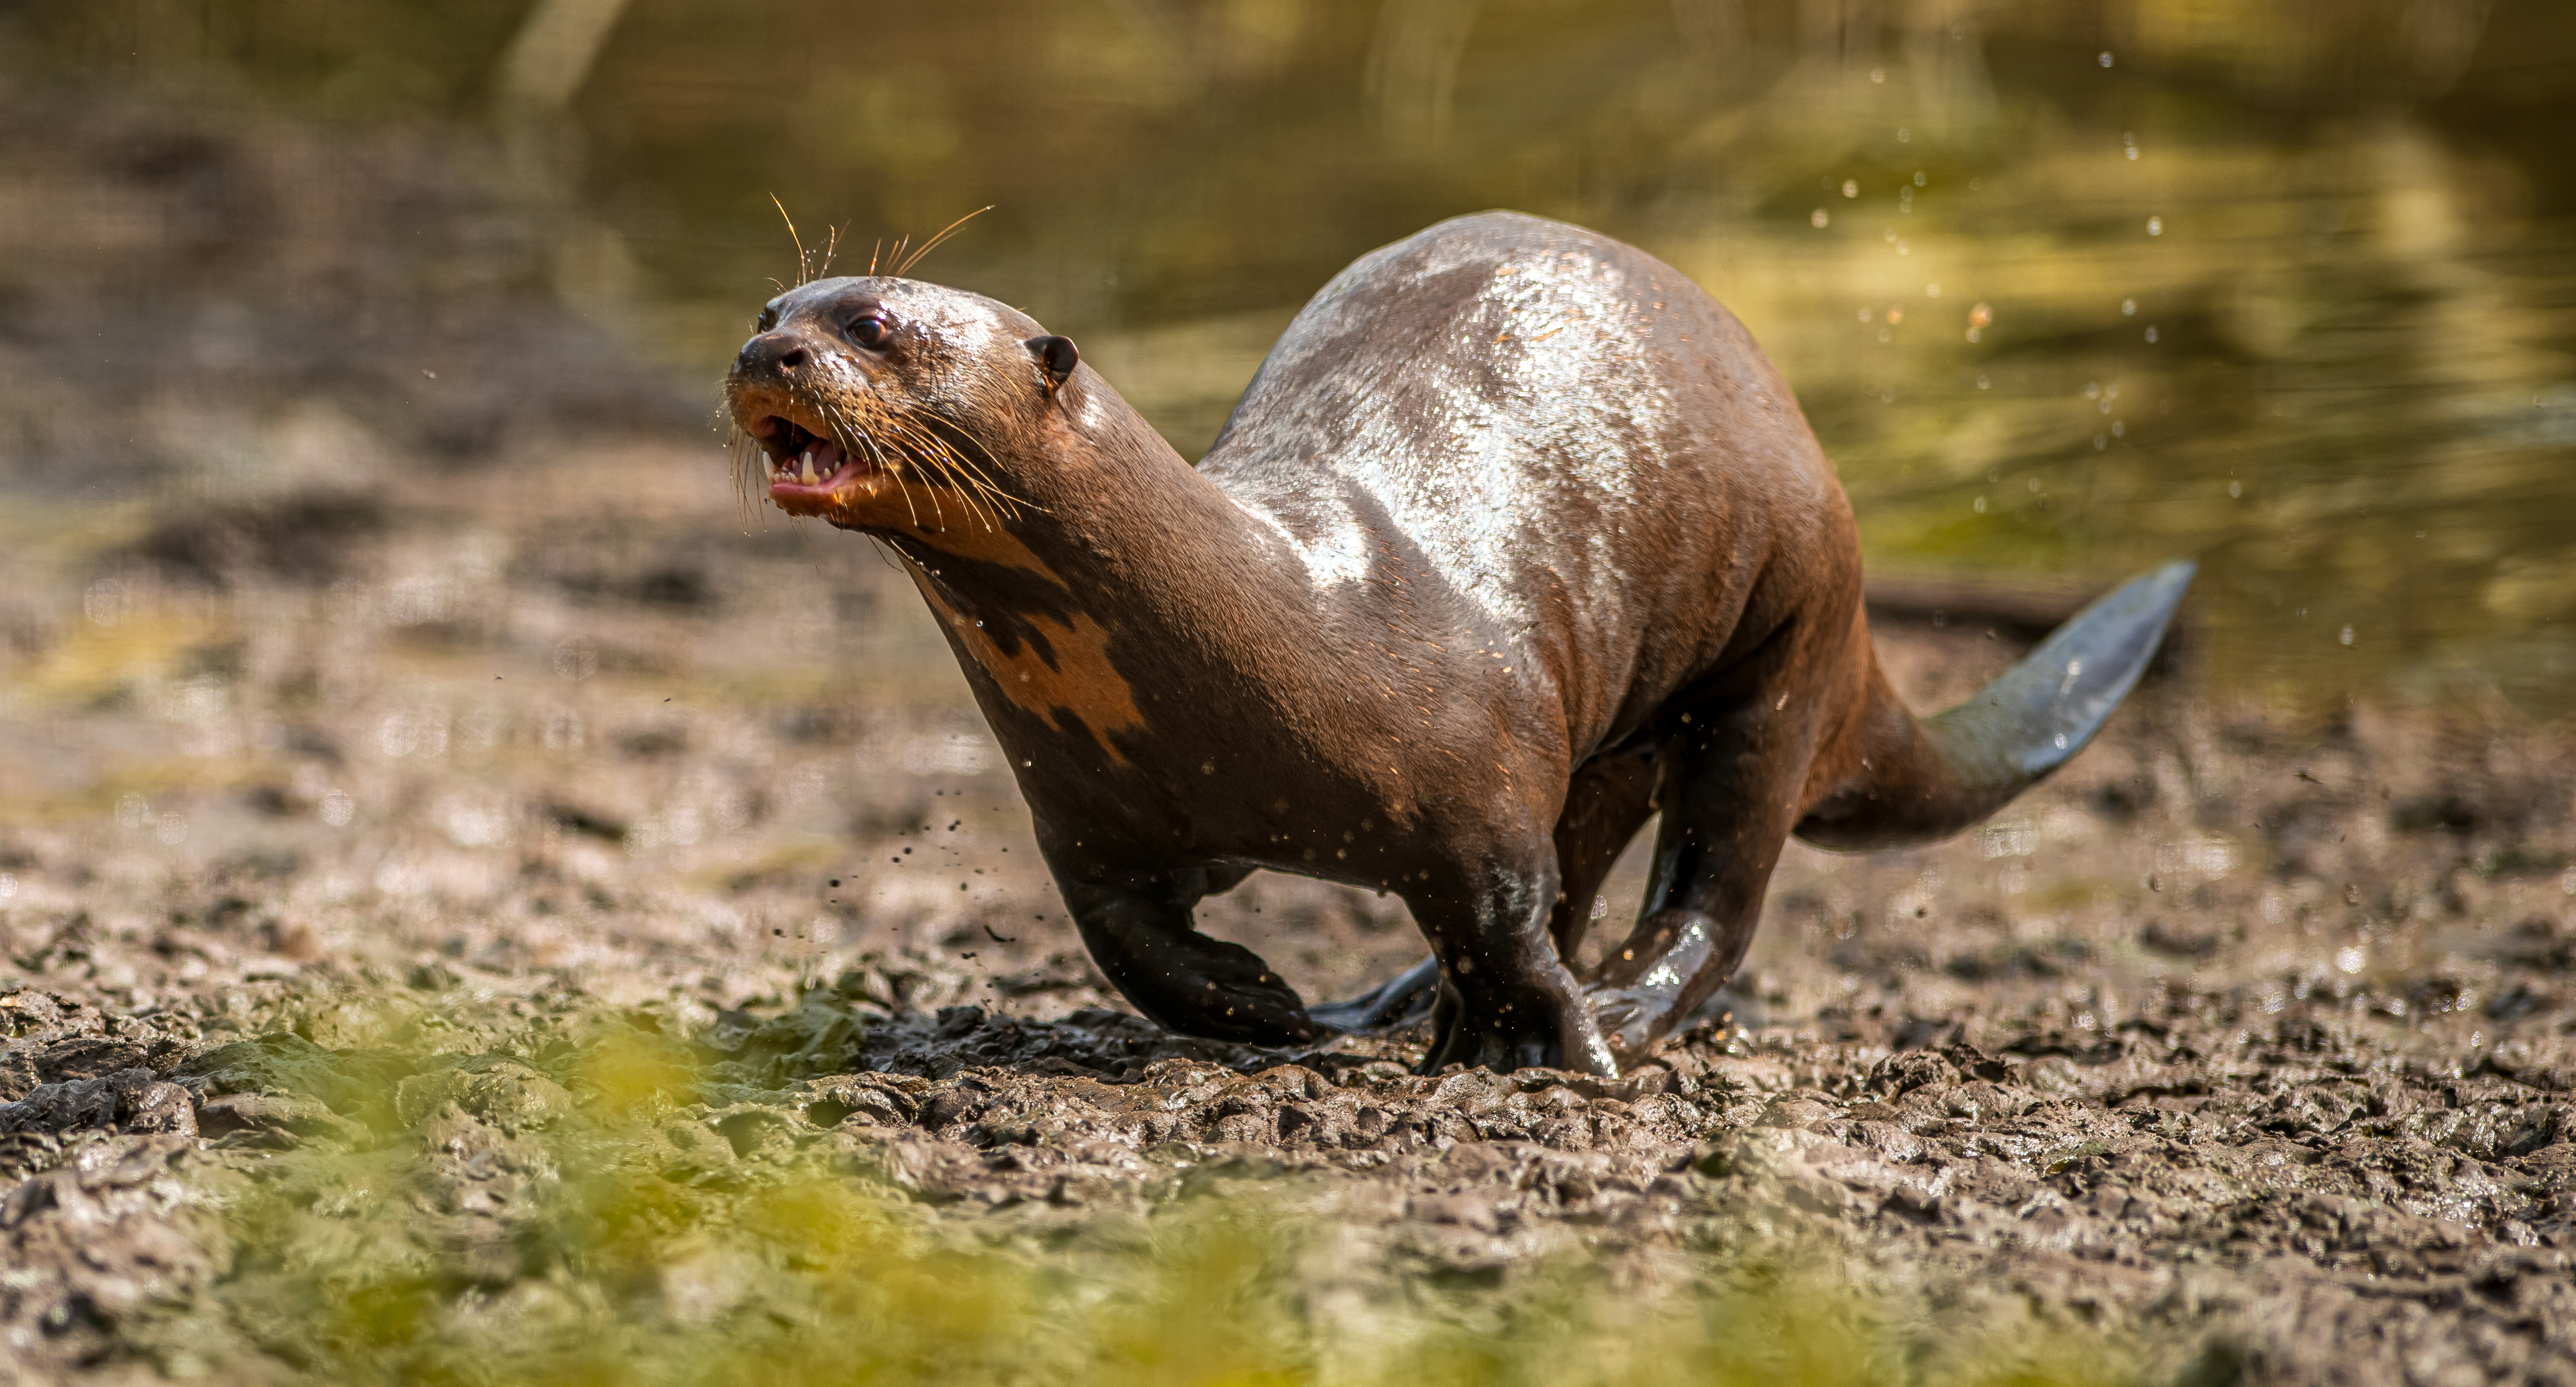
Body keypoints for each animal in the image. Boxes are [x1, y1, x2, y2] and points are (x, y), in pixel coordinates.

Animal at [724, 211, 2190, 1077]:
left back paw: (1618, 1012)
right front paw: (1271, 1005)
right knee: (1587, 866)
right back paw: (1401, 998)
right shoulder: (1083, 819)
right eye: (770, 308)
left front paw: (1560, 1055)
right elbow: (1132, 946)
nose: (765, 356)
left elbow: (1504, 911)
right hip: (1612, 732)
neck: (1264, 617)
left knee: (1710, 889)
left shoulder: (1472, 783)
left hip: (1782, 649)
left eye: (872, 327)